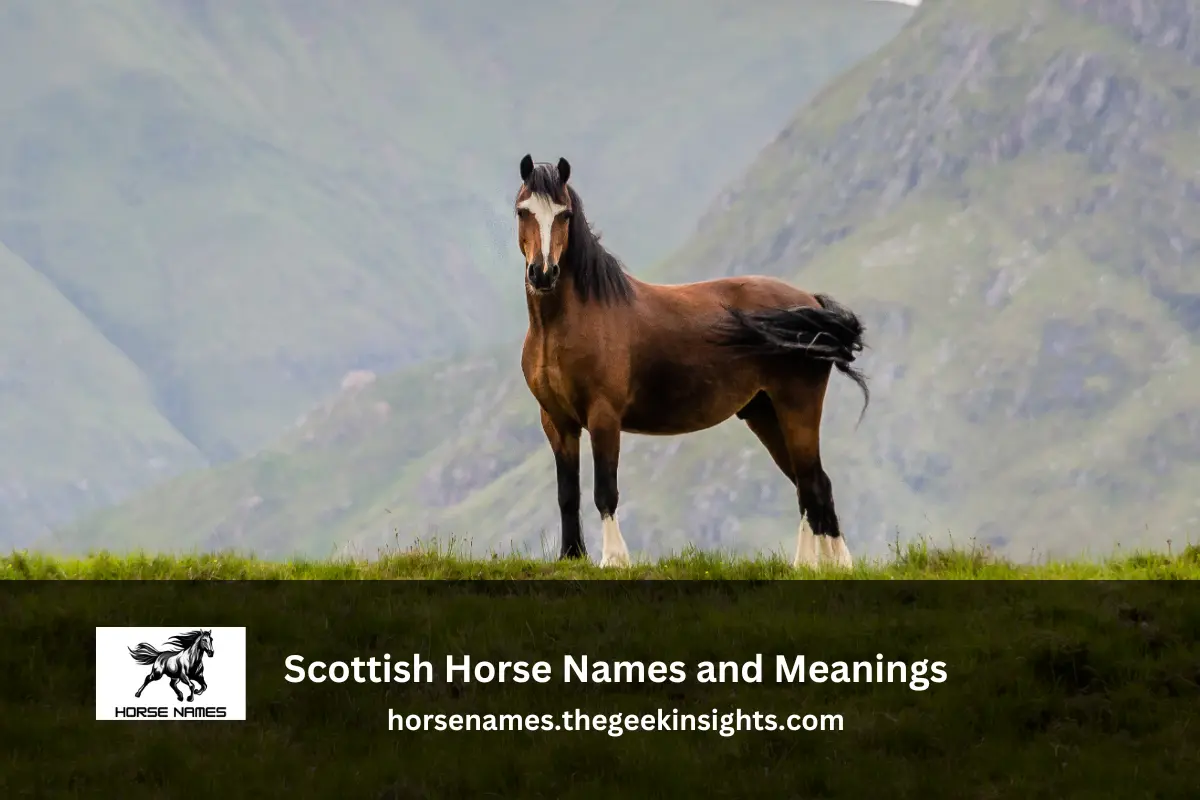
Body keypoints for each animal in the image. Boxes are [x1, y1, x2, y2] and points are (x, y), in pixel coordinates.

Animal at [514, 154, 869, 570]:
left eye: (565, 214)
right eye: (523, 211)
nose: (543, 273)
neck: (572, 321)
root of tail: (809, 303)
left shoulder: (604, 417)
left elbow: (605, 491)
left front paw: (614, 559)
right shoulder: (557, 421)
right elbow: (568, 494)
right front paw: (572, 556)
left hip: (797, 407)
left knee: (811, 483)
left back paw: (819, 563)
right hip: (765, 413)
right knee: (810, 484)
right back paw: (823, 564)